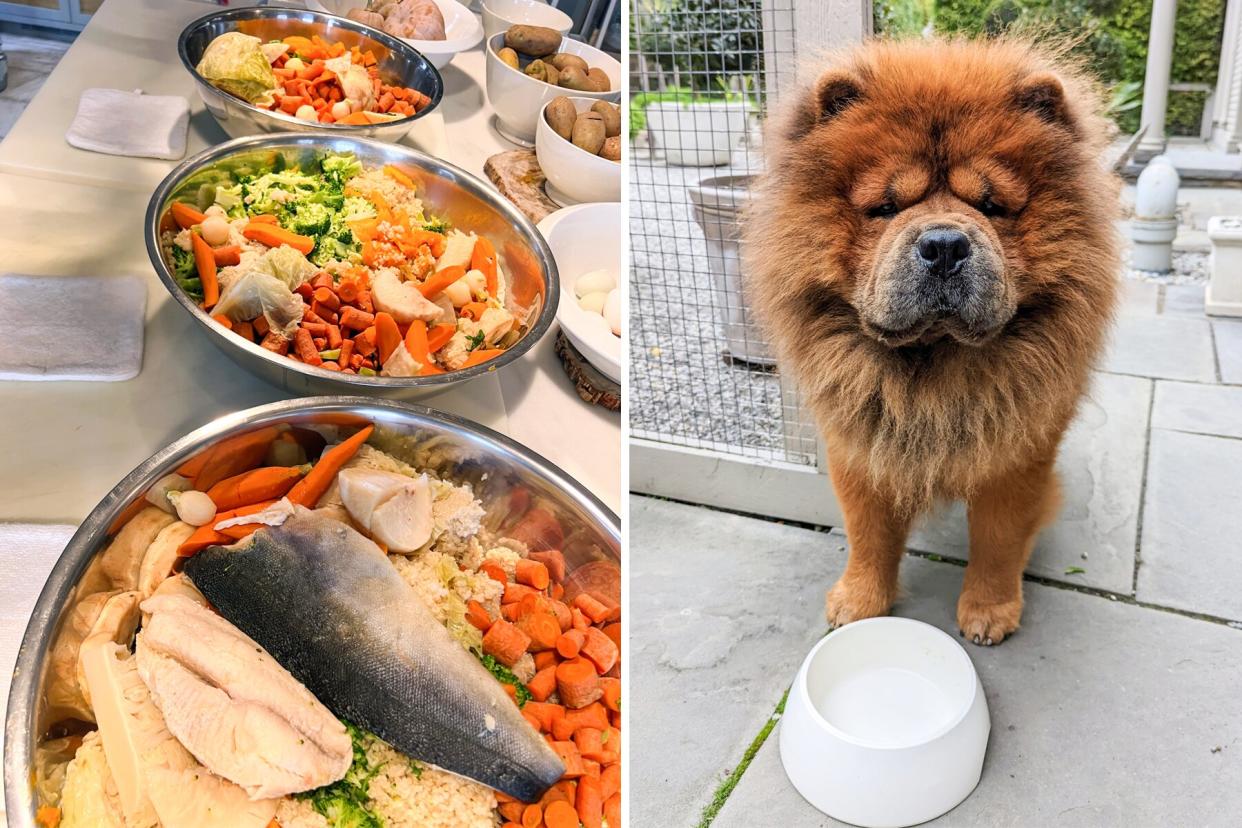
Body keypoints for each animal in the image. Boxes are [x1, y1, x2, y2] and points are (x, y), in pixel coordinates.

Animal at [740, 38, 1122, 645]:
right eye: (885, 207)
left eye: (991, 206)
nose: (944, 244)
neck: (934, 369)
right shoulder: (859, 445)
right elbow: (868, 533)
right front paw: (859, 602)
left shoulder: (1016, 455)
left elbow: (998, 538)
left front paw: (989, 612)